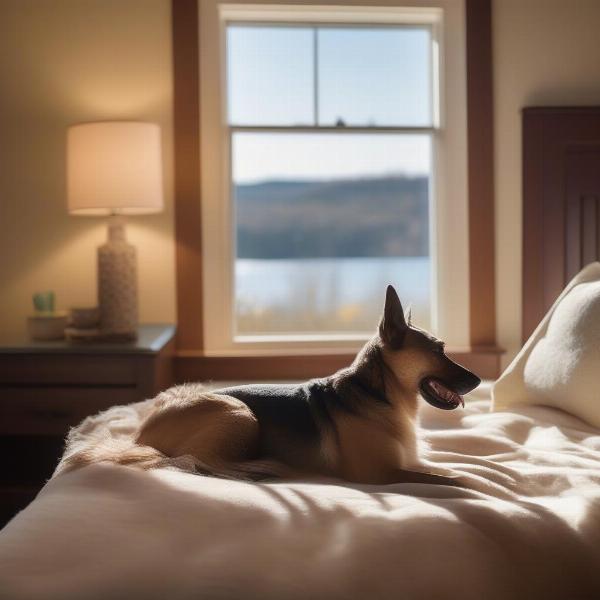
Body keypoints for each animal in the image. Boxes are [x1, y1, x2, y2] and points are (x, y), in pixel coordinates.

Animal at [61, 288, 480, 488]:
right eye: (439, 350)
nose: (477, 380)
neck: (379, 393)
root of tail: (140, 434)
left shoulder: (409, 461)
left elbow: (451, 467)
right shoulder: (380, 473)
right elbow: (454, 478)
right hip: (238, 413)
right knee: (199, 460)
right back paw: (259, 468)